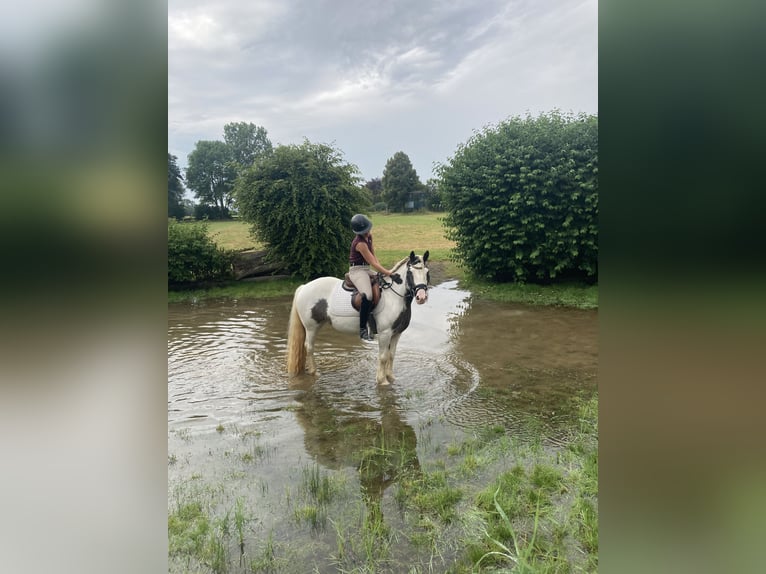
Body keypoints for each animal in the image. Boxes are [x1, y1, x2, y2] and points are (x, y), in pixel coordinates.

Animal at [286, 251, 430, 385]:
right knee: (309, 347)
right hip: (311, 327)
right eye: (410, 273)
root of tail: (304, 287)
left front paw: (391, 377)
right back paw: (314, 372)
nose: (421, 297)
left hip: (318, 324)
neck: (393, 297)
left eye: (427, 272)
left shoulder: (396, 333)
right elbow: (383, 356)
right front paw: (382, 381)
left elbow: (391, 355)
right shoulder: (385, 333)